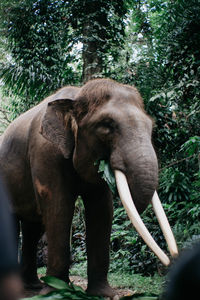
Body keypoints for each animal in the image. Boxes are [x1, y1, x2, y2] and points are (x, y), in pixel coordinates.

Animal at [0, 78, 178, 298]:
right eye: (107, 125)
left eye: (151, 126)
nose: (172, 260)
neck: (76, 96)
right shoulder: (44, 152)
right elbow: (59, 207)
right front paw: (57, 291)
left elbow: (101, 210)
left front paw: (104, 294)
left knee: (34, 226)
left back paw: (32, 286)